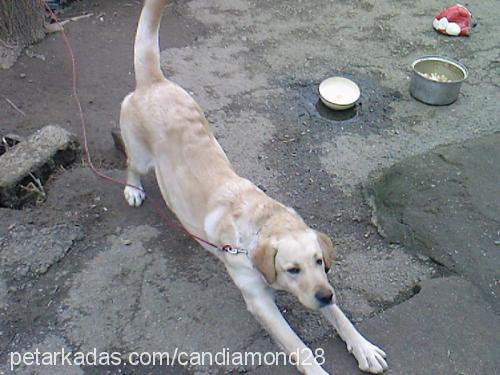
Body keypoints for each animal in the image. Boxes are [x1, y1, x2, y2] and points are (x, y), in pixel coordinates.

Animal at [119, 1, 388, 374]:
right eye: (292, 269)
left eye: (320, 261)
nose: (325, 295)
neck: (262, 224)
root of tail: (154, 81)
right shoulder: (261, 302)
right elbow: (299, 346)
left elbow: (342, 317)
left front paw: (362, 346)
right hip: (142, 156)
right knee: (131, 164)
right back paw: (133, 190)